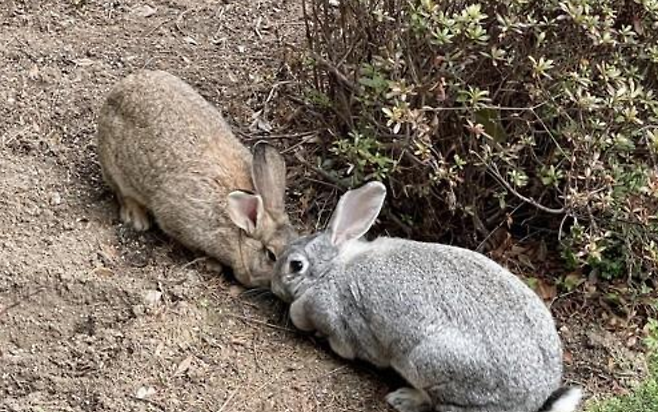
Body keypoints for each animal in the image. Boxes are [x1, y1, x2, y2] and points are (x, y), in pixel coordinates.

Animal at [95, 69, 294, 288]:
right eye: (271, 256)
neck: (237, 233)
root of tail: (120, 88)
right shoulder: (180, 222)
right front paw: (211, 264)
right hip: (115, 168)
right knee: (123, 193)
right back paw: (138, 220)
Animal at [270, 183, 580, 412]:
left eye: (295, 265)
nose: (273, 285)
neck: (332, 267)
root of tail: (536, 398)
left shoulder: (337, 317)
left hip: (428, 363)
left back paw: (402, 399)